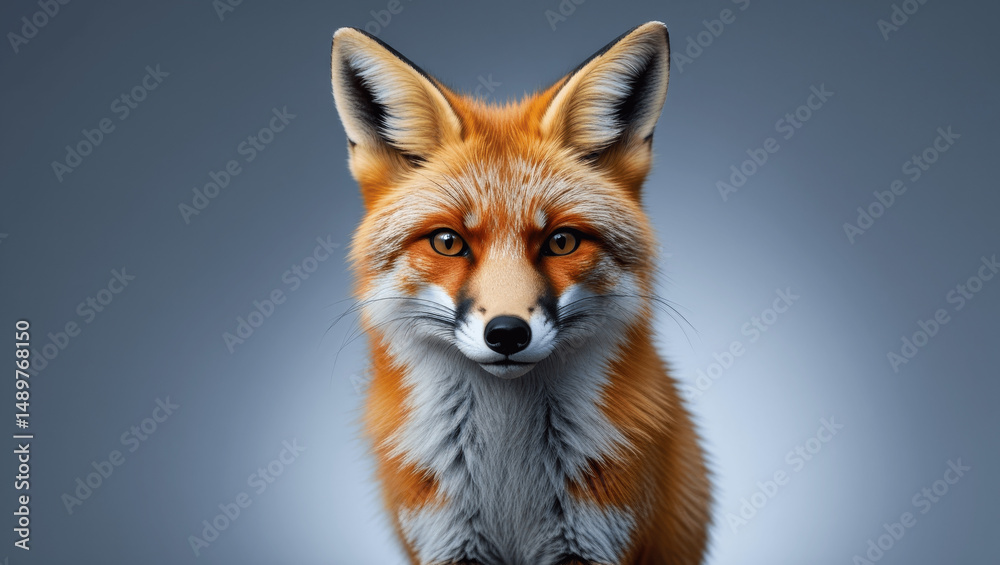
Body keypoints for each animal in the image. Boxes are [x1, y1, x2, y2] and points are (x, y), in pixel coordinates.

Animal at [330, 21, 711, 565]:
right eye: (448, 242)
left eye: (562, 241)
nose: (507, 334)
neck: (508, 482)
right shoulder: (445, 540)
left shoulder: (598, 538)